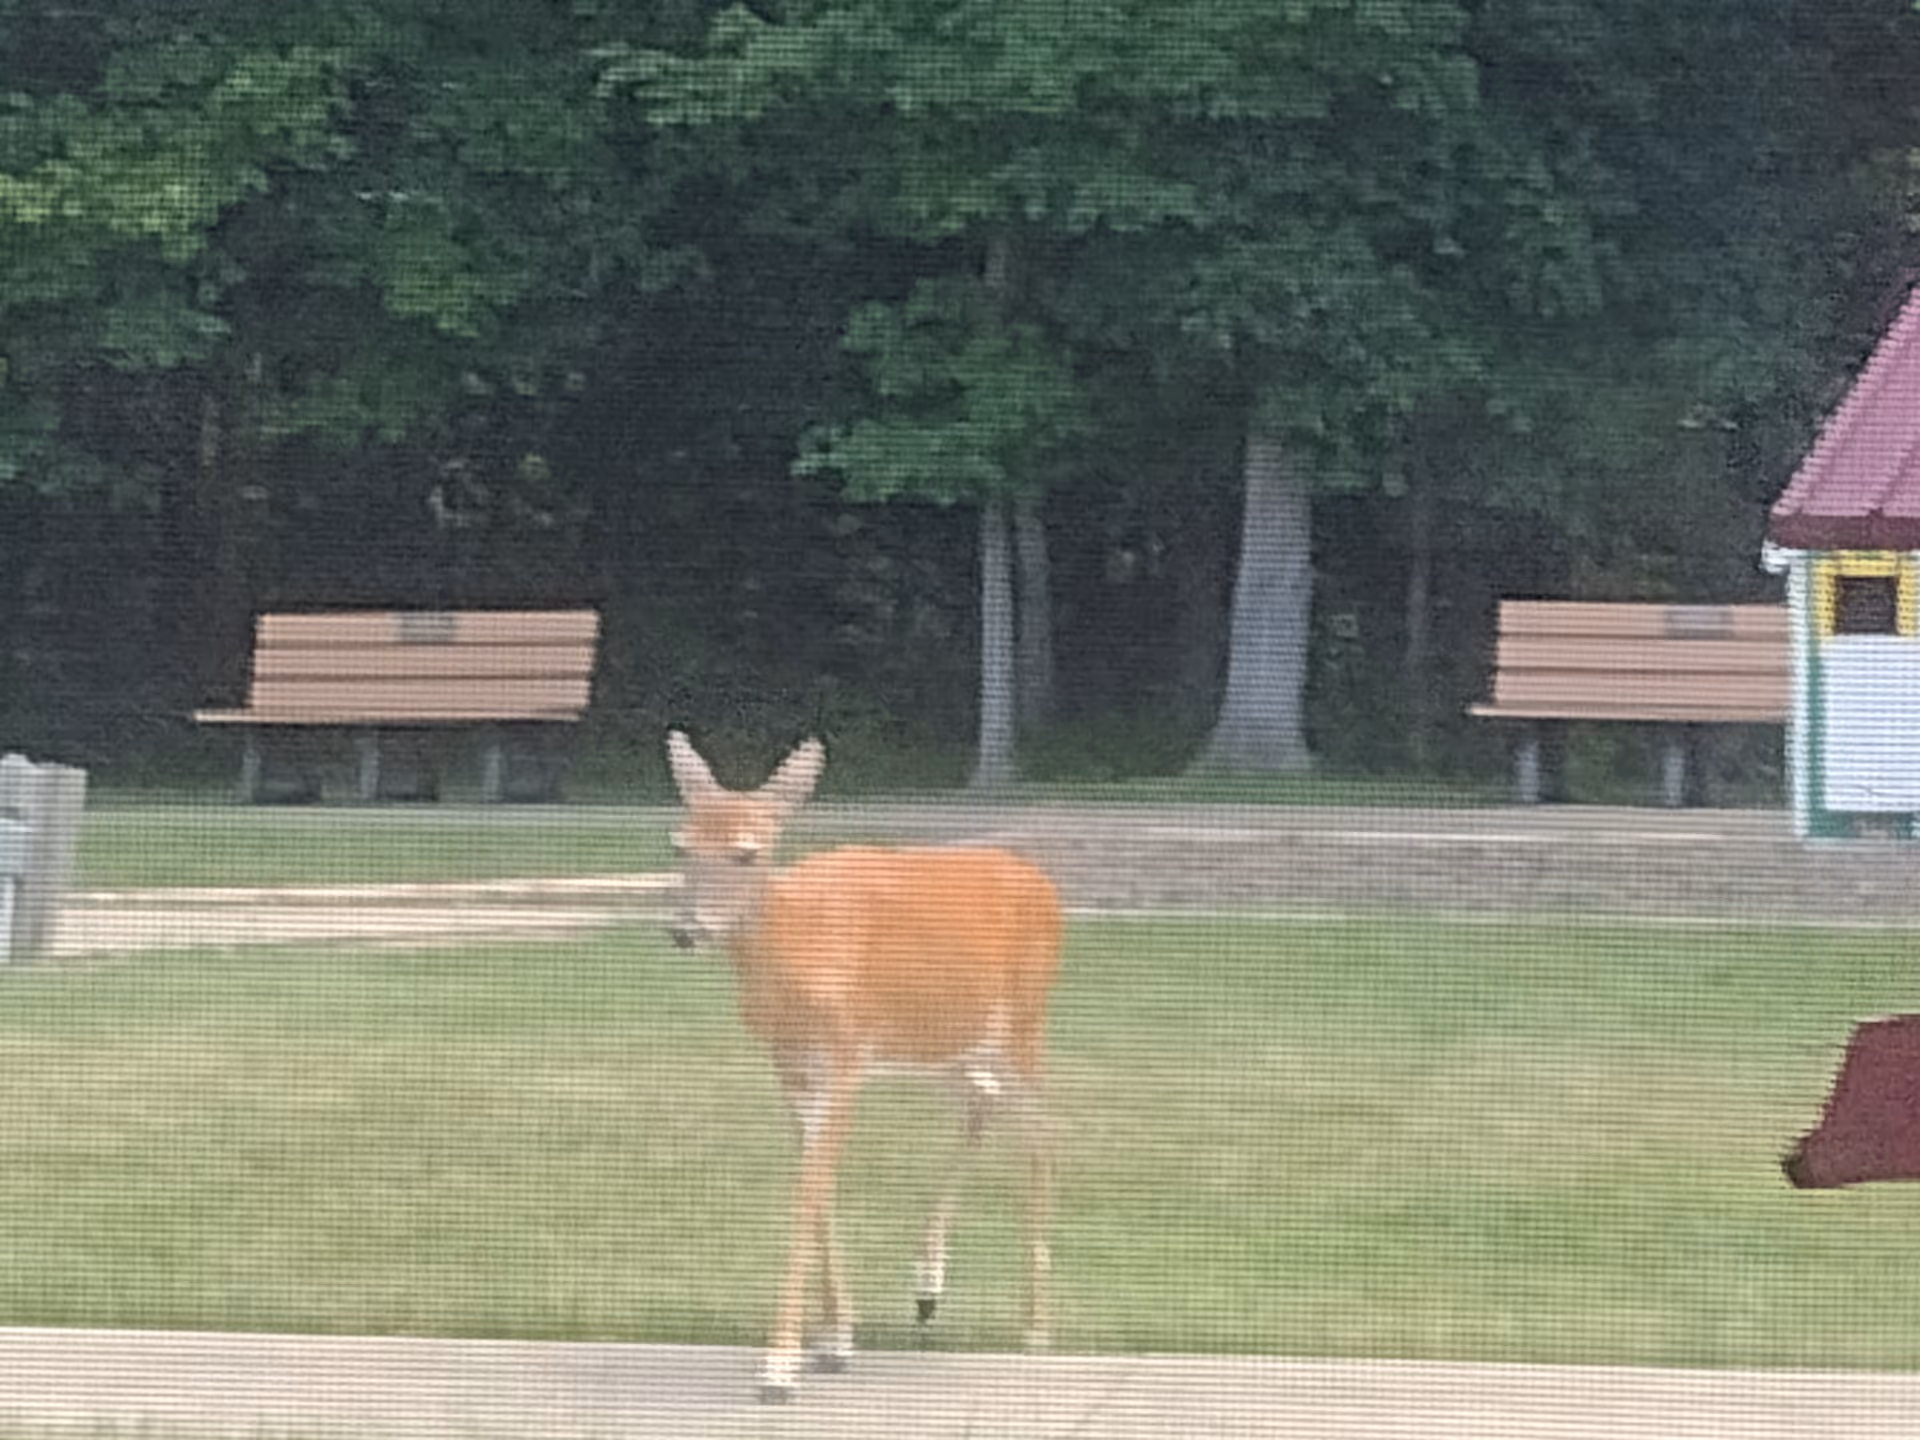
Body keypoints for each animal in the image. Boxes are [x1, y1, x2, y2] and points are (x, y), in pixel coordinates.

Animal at [663, 730, 1063, 1402]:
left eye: (747, 852)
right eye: (680, 845)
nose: (684, 930)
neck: (797, 953)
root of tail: (1043, 883)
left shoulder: (849, 1050)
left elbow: (809, 1188)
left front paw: (779, 1366)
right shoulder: (789, 1064)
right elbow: (817, 1182)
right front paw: (835, 1339)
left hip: (1026, 1021)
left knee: (1041, 1133)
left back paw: (1036, 1328)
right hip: (947, 1045)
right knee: (982, 1105)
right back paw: (927, 1288)